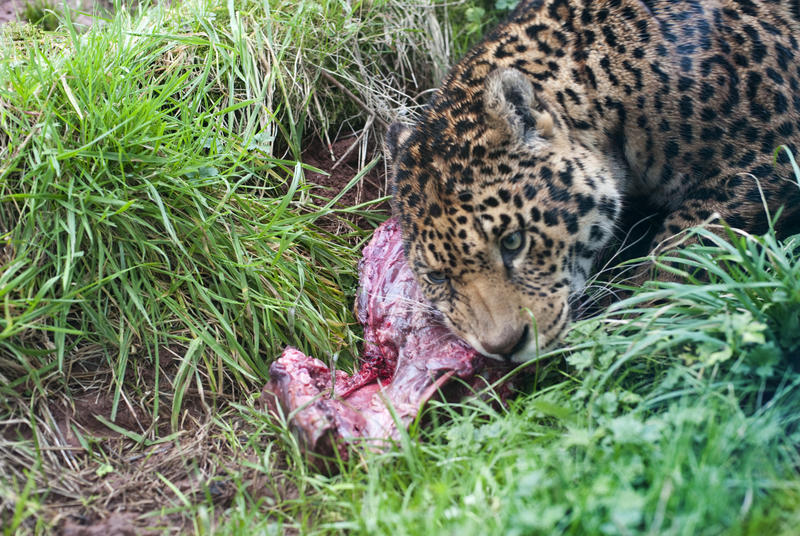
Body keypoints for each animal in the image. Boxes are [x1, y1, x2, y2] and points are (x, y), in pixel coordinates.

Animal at [386, 0, 800, 364]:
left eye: (513, 242)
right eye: (437, 276)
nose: (503, 347)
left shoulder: (768, 154)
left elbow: (684, 245)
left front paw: (640, 321)